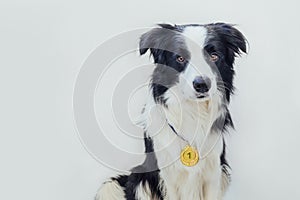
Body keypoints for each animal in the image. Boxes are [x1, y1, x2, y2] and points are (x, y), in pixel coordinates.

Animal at [95, 22, 246, 199]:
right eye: (180, 58)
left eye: (214, 56)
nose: (202, 85)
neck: (193, 112)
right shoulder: (168, 176)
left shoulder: (214, 172)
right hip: (142, 179)